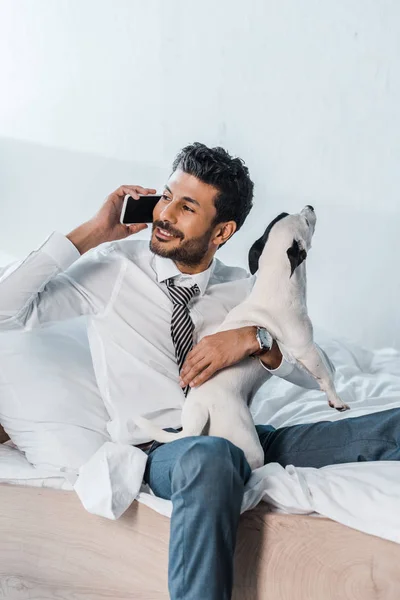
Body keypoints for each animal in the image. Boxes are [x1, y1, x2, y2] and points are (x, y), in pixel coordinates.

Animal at [136, 209, 348, 472]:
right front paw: (337, 401)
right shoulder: (306, 349)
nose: (309, 206)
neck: (276, 283)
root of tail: (199, 411)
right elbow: (326, 377)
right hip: (246, 440)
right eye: (306, 222)